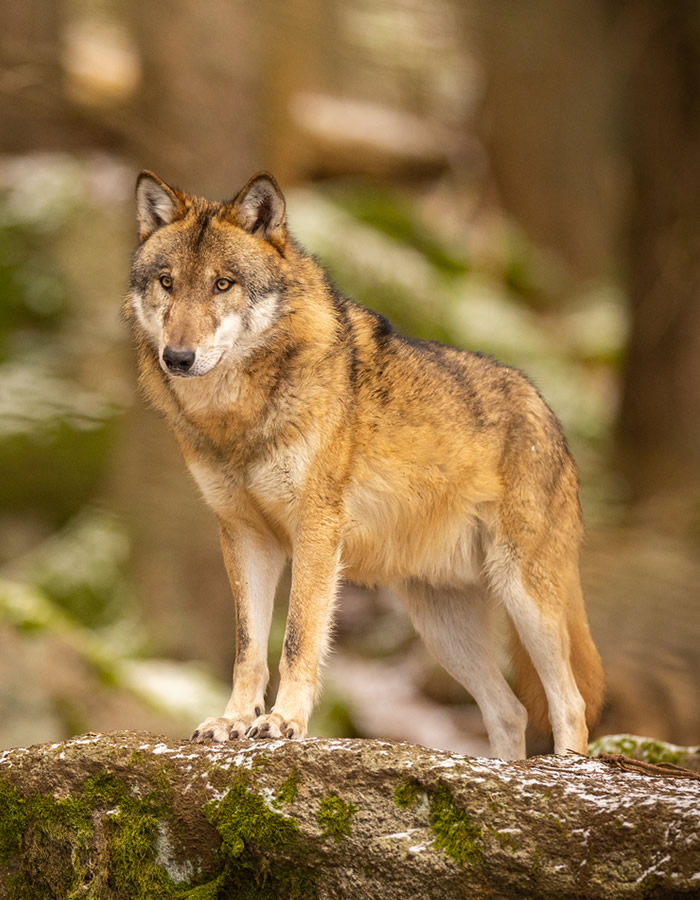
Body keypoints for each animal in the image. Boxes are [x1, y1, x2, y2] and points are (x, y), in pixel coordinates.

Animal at [125, 169, 604, 759]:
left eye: (223, 284)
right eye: (167, 282)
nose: (178, 358)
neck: (238, 416)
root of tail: (547, 411)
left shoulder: (316, 529)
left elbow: (298, 636)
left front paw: (284, 722)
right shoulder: (244, 535)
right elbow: (247, 647)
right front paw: (231, 721)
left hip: (524, 595)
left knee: (570, 704)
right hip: (442, 626)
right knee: (508, 710)